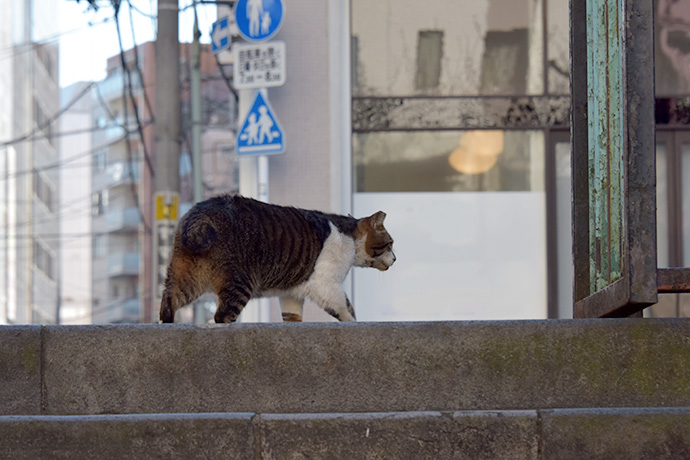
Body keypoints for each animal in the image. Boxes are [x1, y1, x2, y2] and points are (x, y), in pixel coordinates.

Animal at [157, 195, 392, 324]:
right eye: (390, 244)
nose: (396, 259)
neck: (349, 237)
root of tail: (201, 213)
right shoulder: (327, 285)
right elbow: (347, 308)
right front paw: (355, 321)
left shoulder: (291, 294)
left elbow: (293, 317)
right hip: (240, 282)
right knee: (221, 316)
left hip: (186, 276)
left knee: (169, 299)